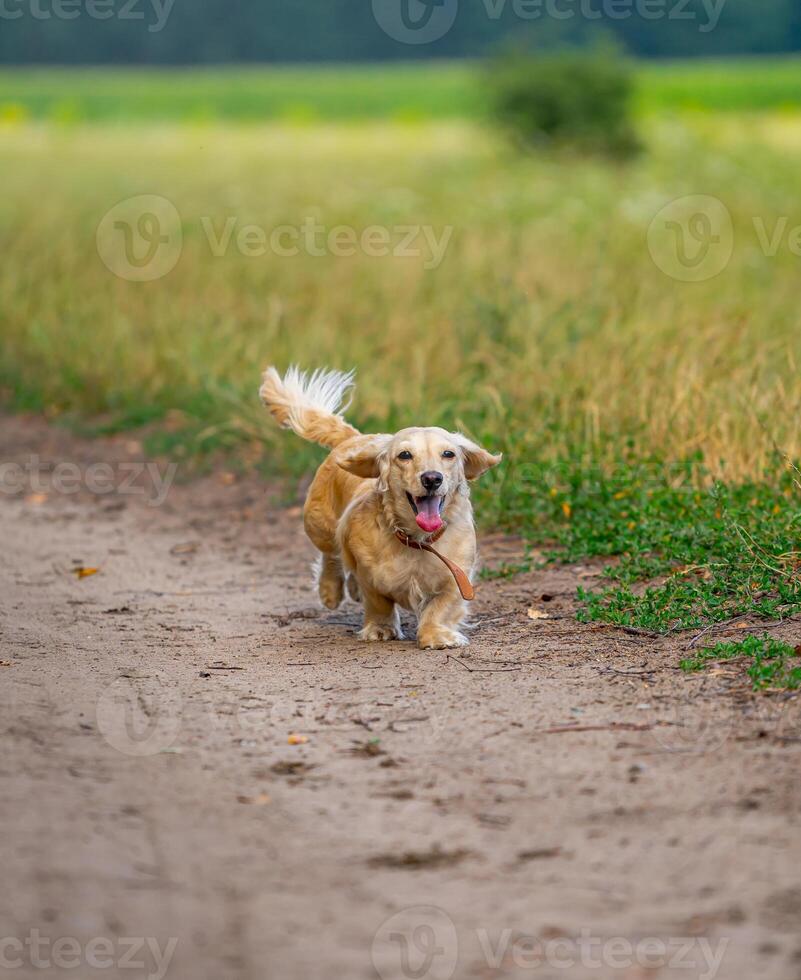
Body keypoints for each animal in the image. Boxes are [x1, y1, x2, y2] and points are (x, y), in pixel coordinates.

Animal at [260, 364, 500, 648]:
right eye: (404, 455)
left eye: (448, 454)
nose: (432, 478)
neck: (417, 541)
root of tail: (356, 438)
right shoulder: (370, 577)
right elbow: (378, 603)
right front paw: (381, 629)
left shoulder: (457, 576)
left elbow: (441, 607)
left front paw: (437, 635)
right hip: (318, 525)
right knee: (331, 556)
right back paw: (330, 591)